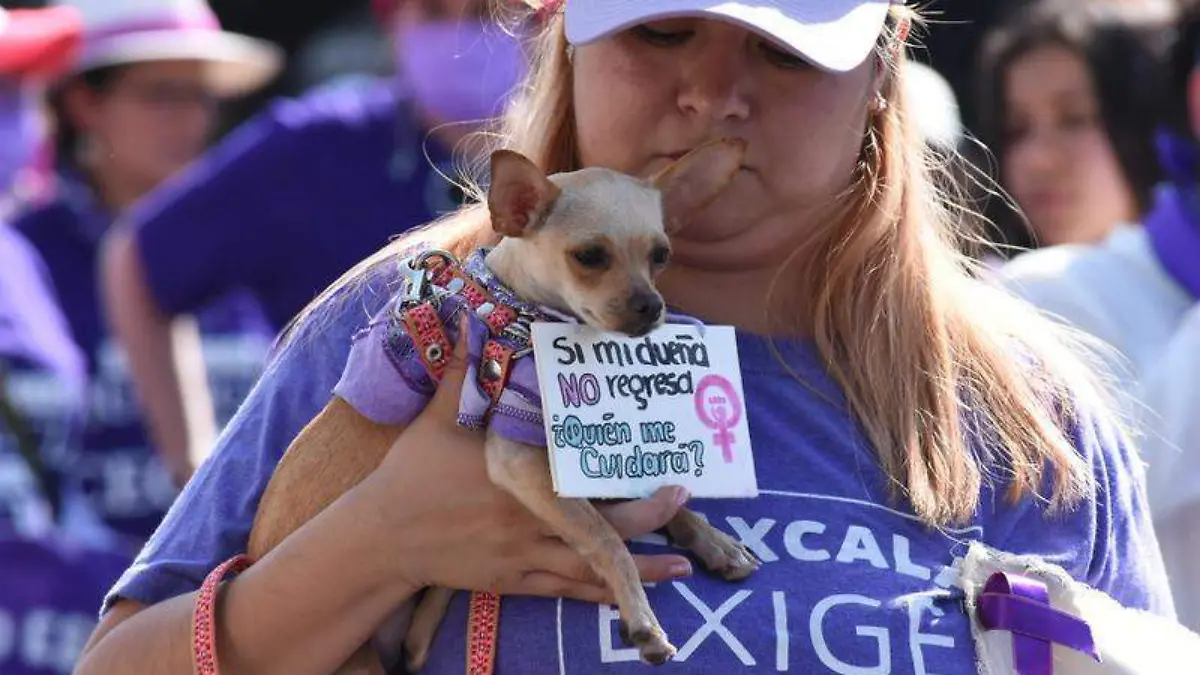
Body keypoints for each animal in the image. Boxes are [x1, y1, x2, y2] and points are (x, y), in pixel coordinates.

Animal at [246, 138, 758, 672]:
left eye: (661, 256)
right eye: (590, 256)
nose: (652, 306)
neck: (517, 308)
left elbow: (665, 496)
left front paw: (714, 541)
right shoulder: (518, 454)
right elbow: (606, 538)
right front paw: (644, 621)